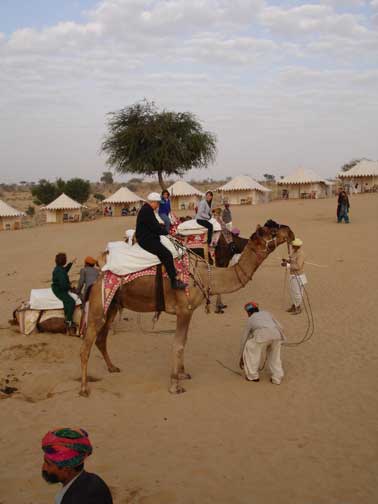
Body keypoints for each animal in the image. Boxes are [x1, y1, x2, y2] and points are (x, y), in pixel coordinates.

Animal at [79, 220, 296, 398]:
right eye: (272, 230)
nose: (290, 231)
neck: (206, 276)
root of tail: (98, 276)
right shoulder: (183, 309)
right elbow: (178, 344)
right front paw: (175, 386)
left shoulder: (189, 311)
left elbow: (184, 342)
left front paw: (183, 374)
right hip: (99, 304)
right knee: (87, 345)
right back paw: (83, 388)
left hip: (113, 305)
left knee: (101, 338)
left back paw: (112, 367)